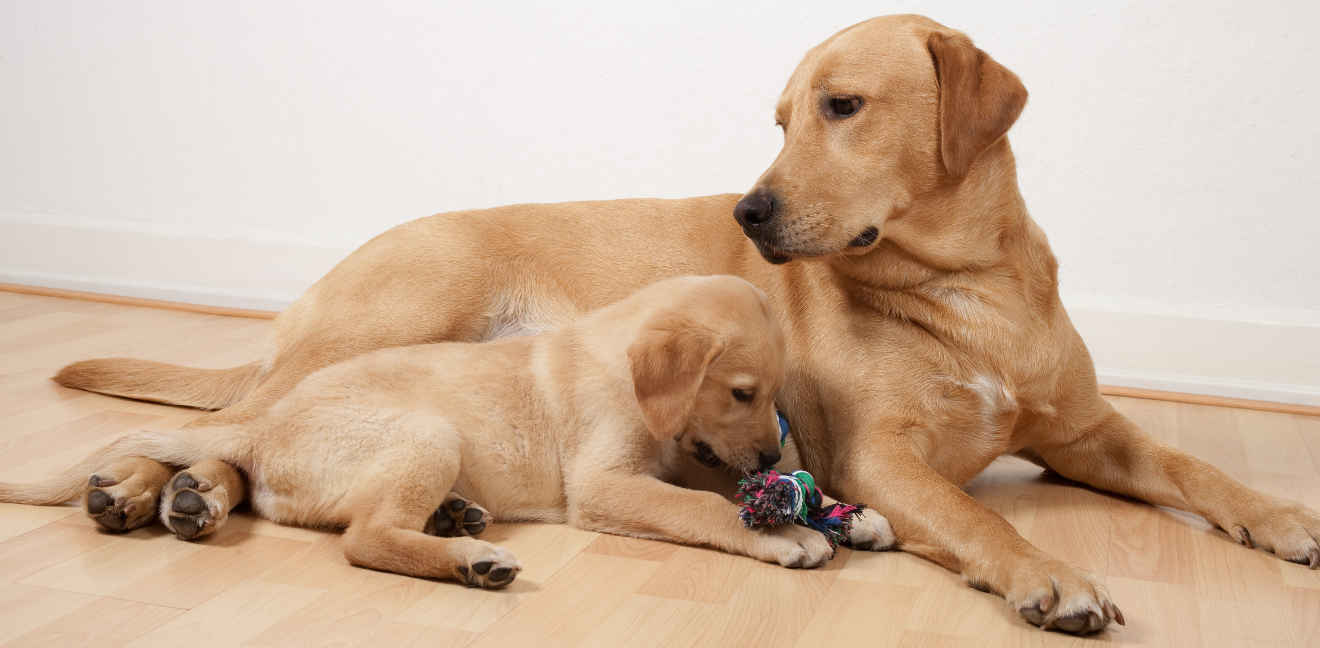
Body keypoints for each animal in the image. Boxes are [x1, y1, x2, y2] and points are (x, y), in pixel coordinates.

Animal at [0, 275, 892, 591]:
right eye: (743, 392)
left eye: (774, 399)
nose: (774, 456)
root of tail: (272, 429)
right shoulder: (607, 483)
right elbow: (703, 508)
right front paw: (783, 532)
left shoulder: (684, 455)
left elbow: (717, 486)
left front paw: (839, 511)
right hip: (427, 434)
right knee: (363, 538)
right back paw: (469, 556)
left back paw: (455, 520)